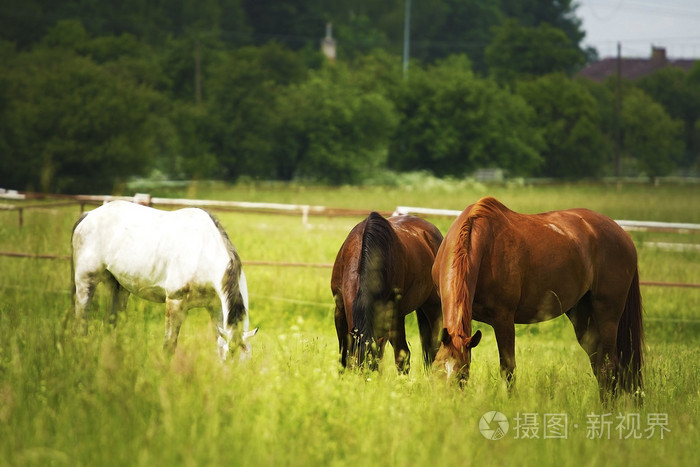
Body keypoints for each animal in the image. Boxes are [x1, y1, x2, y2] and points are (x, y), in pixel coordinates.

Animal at [70, 202, 258, 362]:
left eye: (246, 361)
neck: (203, 252)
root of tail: (88, 215)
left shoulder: (216, 307)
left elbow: (218, 343)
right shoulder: (175, 302)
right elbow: (169, 347)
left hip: (118, 287)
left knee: (111, 324)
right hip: (85, 282)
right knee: (81, 323)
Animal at [432, 197, 644, 398]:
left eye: (462, 375)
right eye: (437, 370)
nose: (447, 402)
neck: (484, 244)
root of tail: (623, 234)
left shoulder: (503, 320)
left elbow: (508, 370)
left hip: (607, 315)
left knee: (609, 367)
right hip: (583, 316)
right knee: (599, 365)